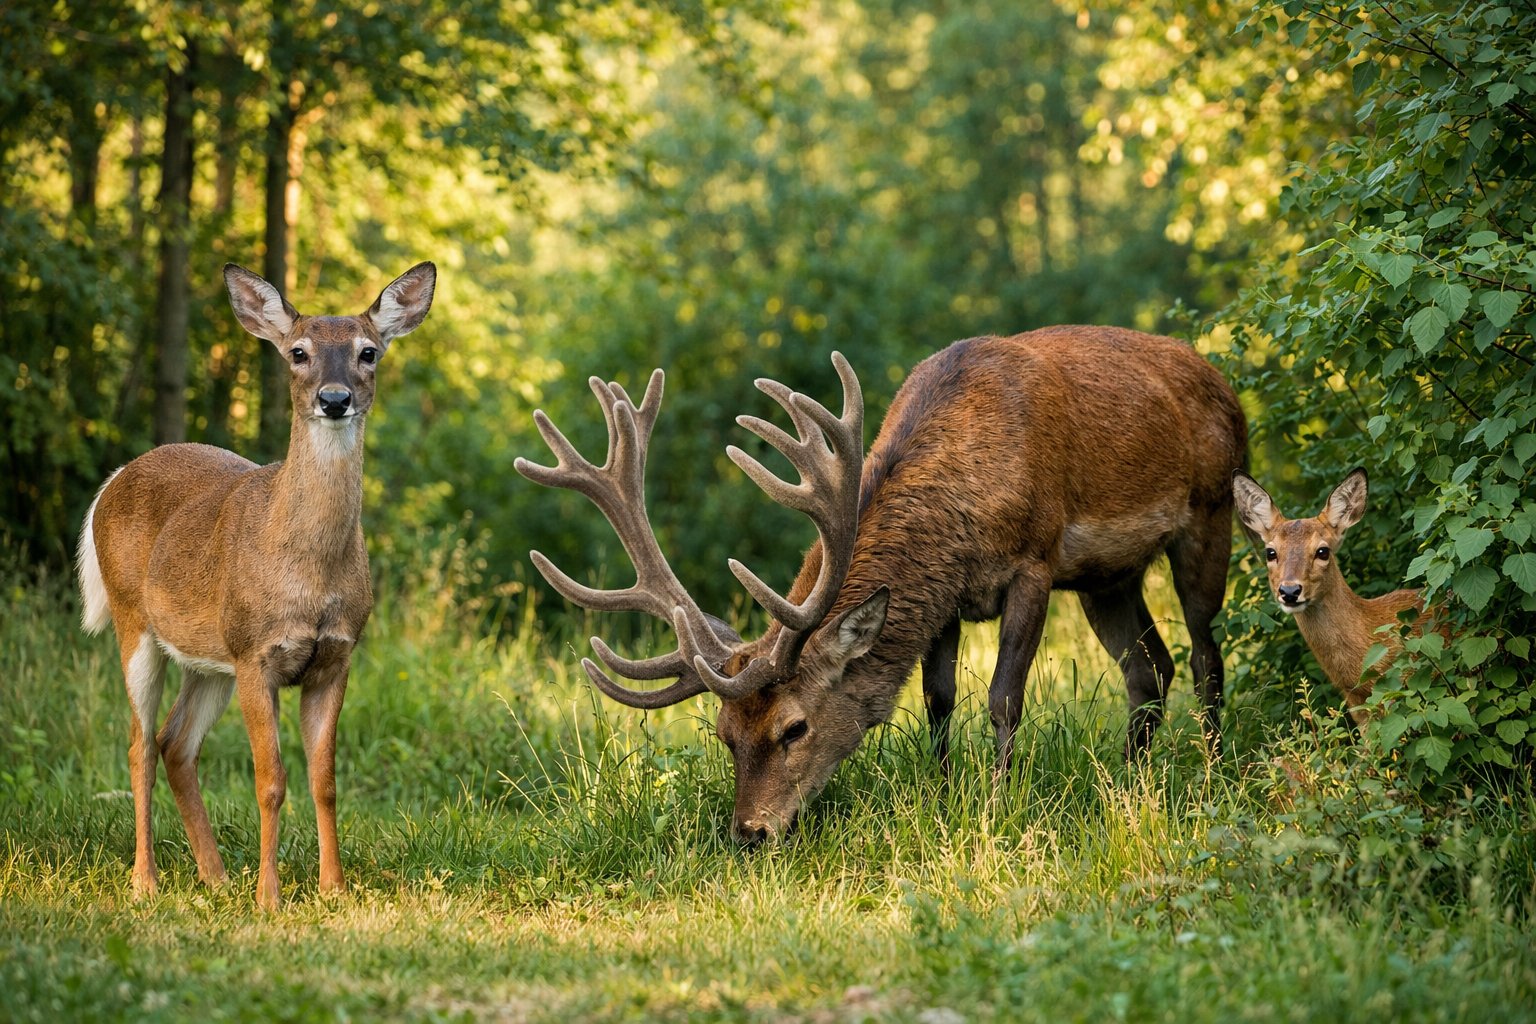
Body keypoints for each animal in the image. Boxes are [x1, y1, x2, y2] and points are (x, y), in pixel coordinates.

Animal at [76, 261, 436, 908]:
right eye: (298, 352)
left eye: (368, 351)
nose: (335, 398)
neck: (309, 573)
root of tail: (113, 480)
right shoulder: (255, 654)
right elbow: (270, 780)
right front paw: (270, 895)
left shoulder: (335, 657)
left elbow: (325, 780)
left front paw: (333, 889)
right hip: (136, 622)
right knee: (140, 744)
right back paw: (146, 881)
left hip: (208, 658)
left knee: (175, 743)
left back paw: (215, 876)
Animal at [516, 326, 1248, 844]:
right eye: (725, 736)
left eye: (794, 728)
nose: (749, 833)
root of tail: (1223, 380)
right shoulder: (945, 596)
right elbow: (938, 700)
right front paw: (945, 797)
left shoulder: (1035, 560)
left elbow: (1003, 699)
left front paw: (998, 807)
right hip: (1107, 576)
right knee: (1149, 668)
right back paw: (1130, 783)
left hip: (1211, 511)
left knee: (1205, 653)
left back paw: (1212, 772)